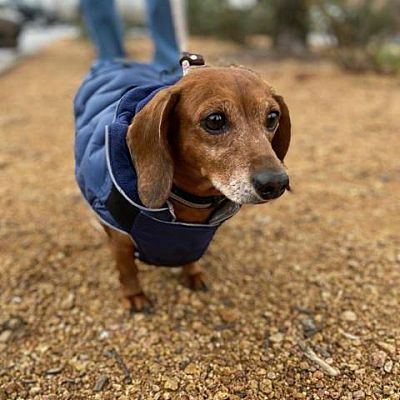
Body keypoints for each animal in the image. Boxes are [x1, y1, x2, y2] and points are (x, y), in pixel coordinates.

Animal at [73, 61, 290, 314]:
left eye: (272, 116)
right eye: (215, 120)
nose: (276, 183)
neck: (191, 201)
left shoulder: (193, 240)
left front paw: (193, 274)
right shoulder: (120, 241)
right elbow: (127, 271)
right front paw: (134, 296)